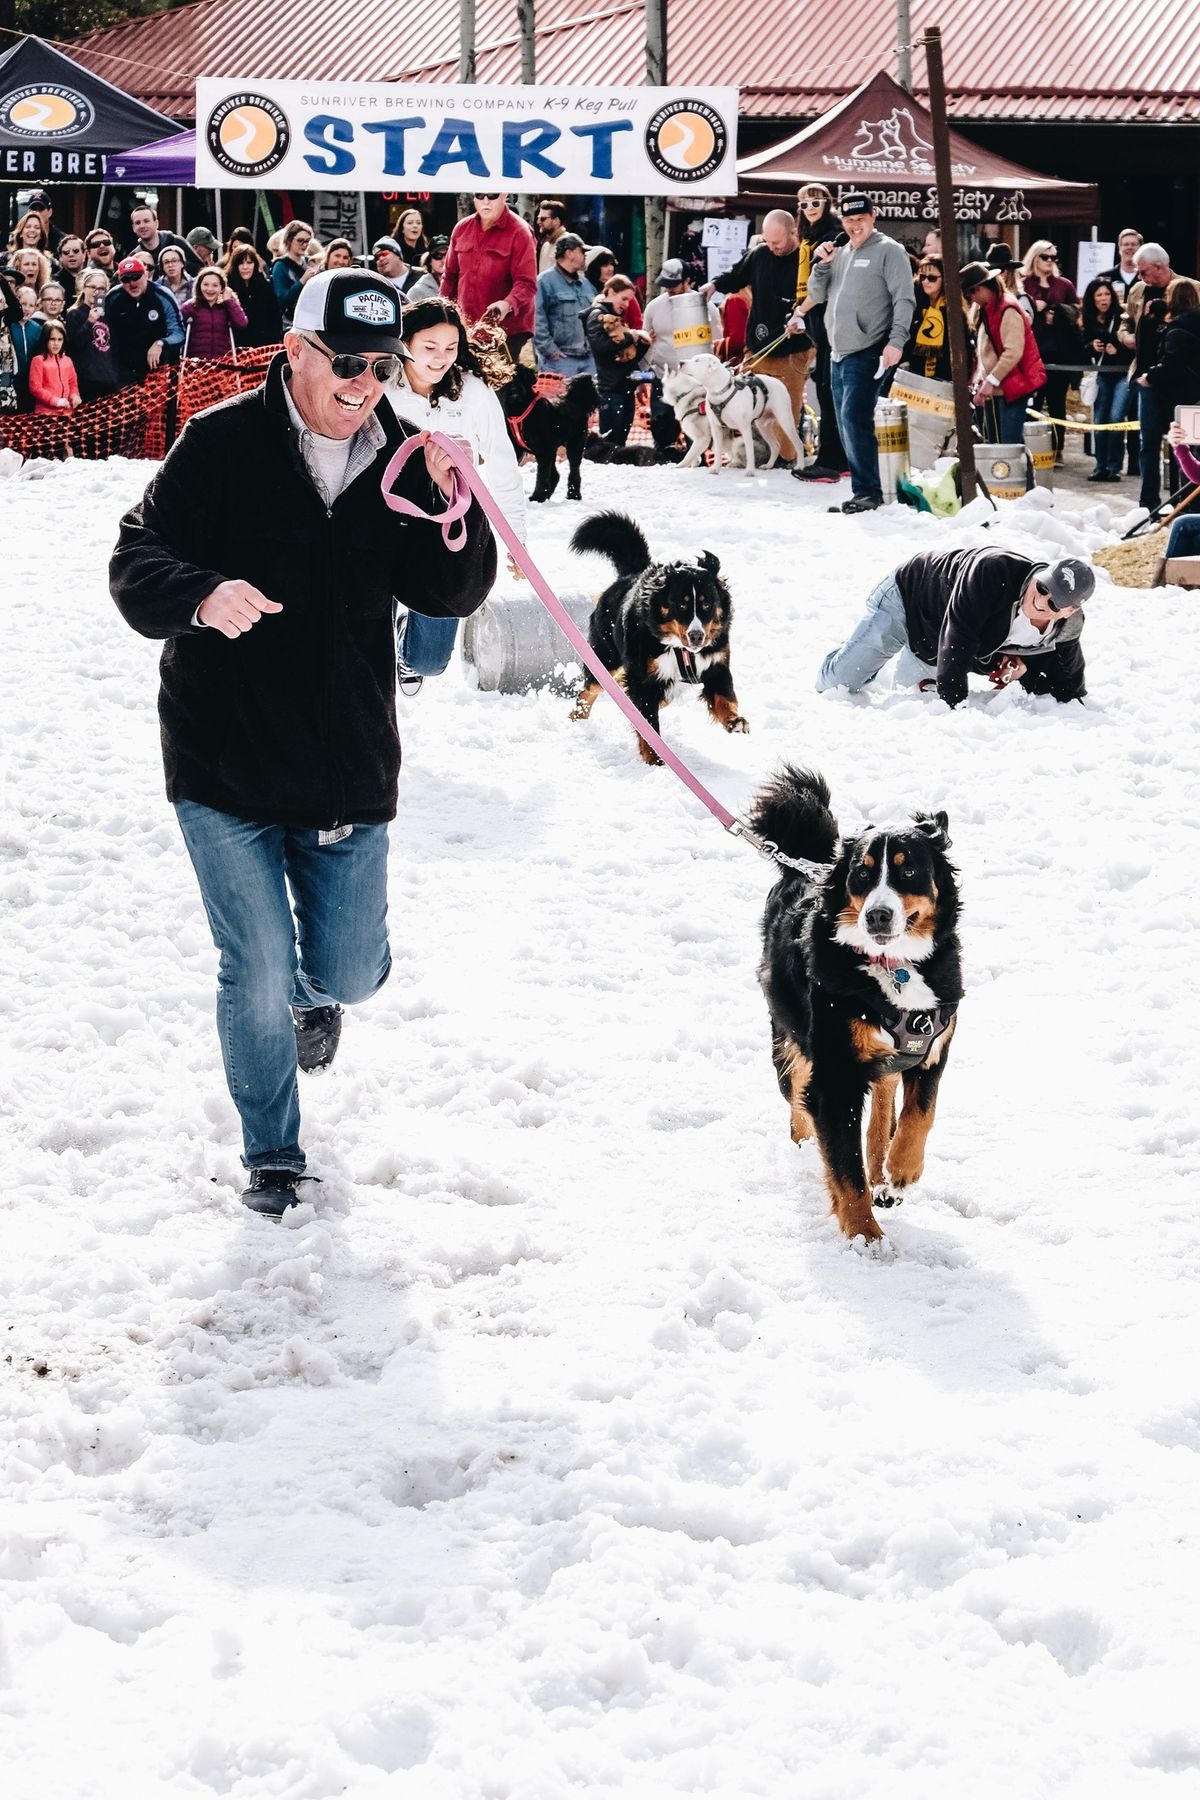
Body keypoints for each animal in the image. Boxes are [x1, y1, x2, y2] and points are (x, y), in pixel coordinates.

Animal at [492, 365, 597, 504]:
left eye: (522, 377)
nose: (515, 390)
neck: (519, 411)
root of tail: (576, 402)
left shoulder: (543, 450)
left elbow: (541, 476)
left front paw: (537, 497)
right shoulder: (519, 448)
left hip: (575, 444)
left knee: (574, 471)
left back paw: (573, 495)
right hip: (553, 449)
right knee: (555, 475)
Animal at [568, 511, 744, 763]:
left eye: (707, 604)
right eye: (681, 604)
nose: (697, 636)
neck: (680, 649)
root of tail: (629, 577)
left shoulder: (716, 665)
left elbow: (725, 697)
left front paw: (734, 720)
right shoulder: (643, 678)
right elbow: (648, 722)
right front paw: (654, 760)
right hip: (606, 657)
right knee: (589, 690)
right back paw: (577, 718)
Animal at [752, 766, 964, 1245]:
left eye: (909, 871)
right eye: (861, 874)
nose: (877, 915)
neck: (895, 966)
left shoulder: (933, 1046)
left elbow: (921, 1113)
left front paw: (901, 1171)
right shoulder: (834, 1075)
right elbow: (845, 1167)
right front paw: (865, 1237)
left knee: (882, 1106)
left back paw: (883, 1173)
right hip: (789, 1037)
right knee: (798, 1101)